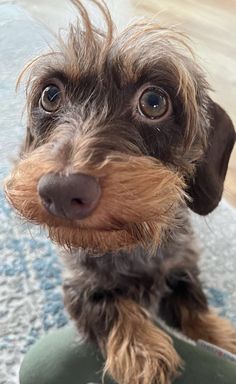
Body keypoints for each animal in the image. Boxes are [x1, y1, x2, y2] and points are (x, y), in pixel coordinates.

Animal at [3, 0, 236, 384]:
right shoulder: (78, 283)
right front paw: (142, 348)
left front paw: (220, 337)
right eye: (50, 96)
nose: (61, 192)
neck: (132, 241)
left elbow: (194, 303)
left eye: (154, 101)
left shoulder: (182, 263)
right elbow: (105, 302)